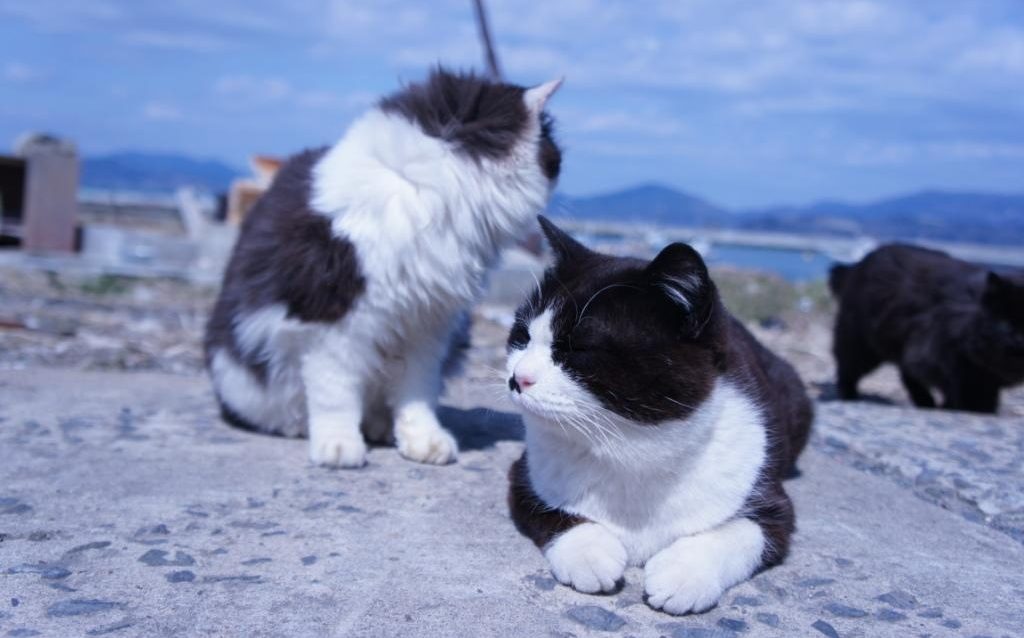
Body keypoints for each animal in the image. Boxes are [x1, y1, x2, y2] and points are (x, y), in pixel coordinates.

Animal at [204, 69, 565, 469]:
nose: (561, 167)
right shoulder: (333, 322)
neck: (422, 190)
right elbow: (334, 390)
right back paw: (305, 427)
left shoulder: (429, 324)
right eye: (553, 153)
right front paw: (339, 445)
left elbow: (416, 393)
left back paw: (378, 427)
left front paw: (424, 441)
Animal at [507, 217, 811, 618]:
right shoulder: (523, 475)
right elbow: (548, 510)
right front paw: (589, 552)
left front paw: (684, 574)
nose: (517, 377)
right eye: (521, 336)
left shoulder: (772, 505)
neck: (630, 448)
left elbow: (742, 533)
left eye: (578, 350)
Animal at [831, 243, 1024, 413]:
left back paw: (925, 402)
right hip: (861, 345)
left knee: (907, 375)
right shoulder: (937, 354)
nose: (1018, 339)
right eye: (1005, 323)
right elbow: (962, 387)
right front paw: (967, 407)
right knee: (847, 368)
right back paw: (848, 396)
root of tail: (858, 265)